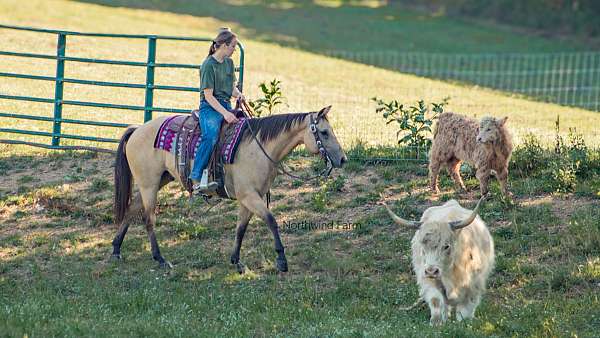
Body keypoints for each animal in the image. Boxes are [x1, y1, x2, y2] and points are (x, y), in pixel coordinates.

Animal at [112, 105, 344, 272]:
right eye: (324, 132)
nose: (343, 159)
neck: (259, 147)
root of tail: (137, 130)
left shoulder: (249, 197)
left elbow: (241, 228)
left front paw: (236, 261)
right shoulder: (249, 196)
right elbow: (271, 220)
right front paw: (281, 260)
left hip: (158, 180)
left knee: (132, 209)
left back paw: (116, 249)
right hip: (149, 184)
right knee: (148, 218)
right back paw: (160, 259)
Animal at [386, 197, 494, 326]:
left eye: (446, 246)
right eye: (422, 246)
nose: (431, 271)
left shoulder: (474, 282)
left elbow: (466, 306)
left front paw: (464, 322)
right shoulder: (428, 280)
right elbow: (436, 300)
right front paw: (436, 323)